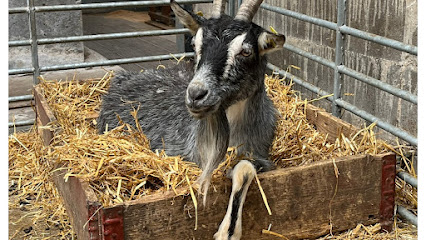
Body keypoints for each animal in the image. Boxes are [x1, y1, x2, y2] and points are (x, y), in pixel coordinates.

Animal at [96, 0, 286, 239]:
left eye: (245, 51)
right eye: (195, 45)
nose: (196, 94)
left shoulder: (262, 158)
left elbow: (245, 168)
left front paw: (228, 231)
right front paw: (226, 232)